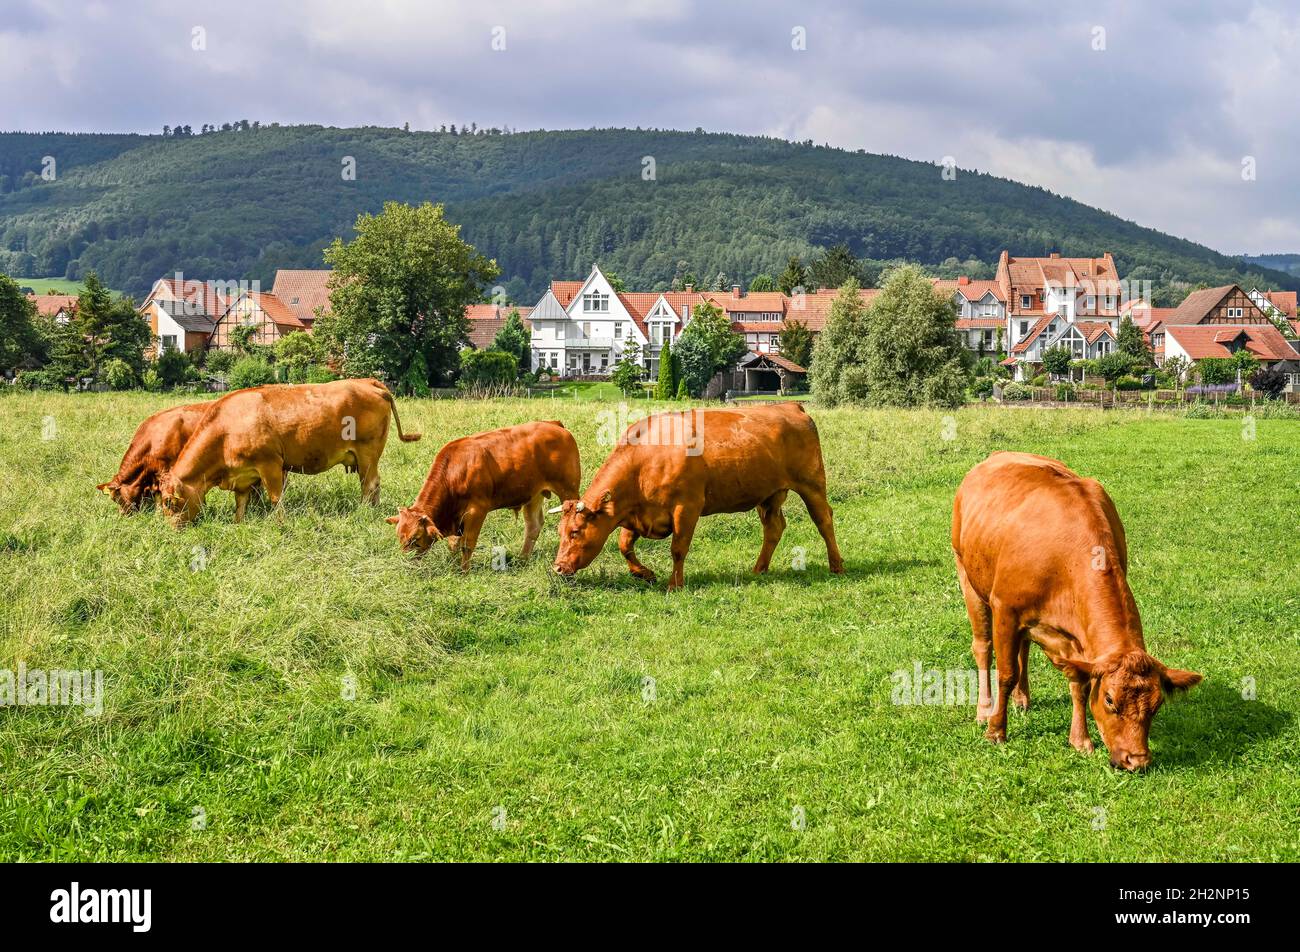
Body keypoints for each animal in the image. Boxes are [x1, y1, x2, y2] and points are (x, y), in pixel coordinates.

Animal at [159, 374, 418, 525]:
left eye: (169, 502)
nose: (171, 530)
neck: (226, 430)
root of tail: (367, 381)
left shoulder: (270, 464)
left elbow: (276, 498)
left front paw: (280, 523)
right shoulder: (242, 476)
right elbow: (240, 504)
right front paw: (238, 524)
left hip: (367, 454)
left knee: (369, 484)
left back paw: (363, 512)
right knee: (375, 484)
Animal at [387, 421, 582, 569]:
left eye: (415, 539)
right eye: (399, 537)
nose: (405, 562)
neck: (454, 471)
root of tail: (554, 424)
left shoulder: (476, 510)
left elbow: (467, 544)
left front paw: (464, 572)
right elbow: (453, 543)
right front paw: (452, 565)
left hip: (568, 490)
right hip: (534, 494)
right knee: (533, 526)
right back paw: (522, 559)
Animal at [548, 400, 842, 590]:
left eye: (575, 531)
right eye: (560, 531)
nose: (558, 567)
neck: (646, 458)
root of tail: (790, 406)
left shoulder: (687, 508)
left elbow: (678, 549)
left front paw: (674, 584)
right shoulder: (635, 513)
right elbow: (624, 546)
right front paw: (645, 573)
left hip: (812, 484)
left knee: (824, 520)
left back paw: (837, 565)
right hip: (769, 495)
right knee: (774, 528)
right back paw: (759, 568)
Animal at [951, 449, 1201, 769]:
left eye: (1156, 705)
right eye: (1109, 699)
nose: (1136, 760)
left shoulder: (1078, 637)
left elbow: (1079, 683)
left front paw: (1080, 740)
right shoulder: (1006, 610)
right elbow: (1005, 674)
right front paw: (997, 731)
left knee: (1023, 649)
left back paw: (1023, 698)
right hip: (968, 578)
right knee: (983, 648)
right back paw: (984, 710)